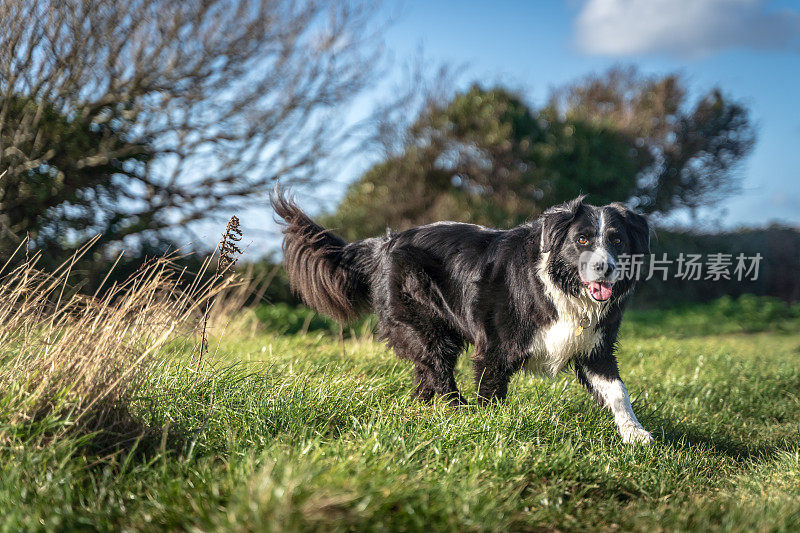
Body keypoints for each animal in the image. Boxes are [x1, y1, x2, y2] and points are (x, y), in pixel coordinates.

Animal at [272, 193, 652, 442]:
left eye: (617, 240)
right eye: (582, 239)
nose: (605, 268)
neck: (560, 286)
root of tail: (381, 244)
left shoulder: (595, 348)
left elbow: (618, 392)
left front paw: (636, 434)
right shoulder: (494, 349)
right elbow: (491, 394)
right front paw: (491, 431)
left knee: (425, 374)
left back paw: (421, 412)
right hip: (425, 323)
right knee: (438, 371)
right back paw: (455, 412)